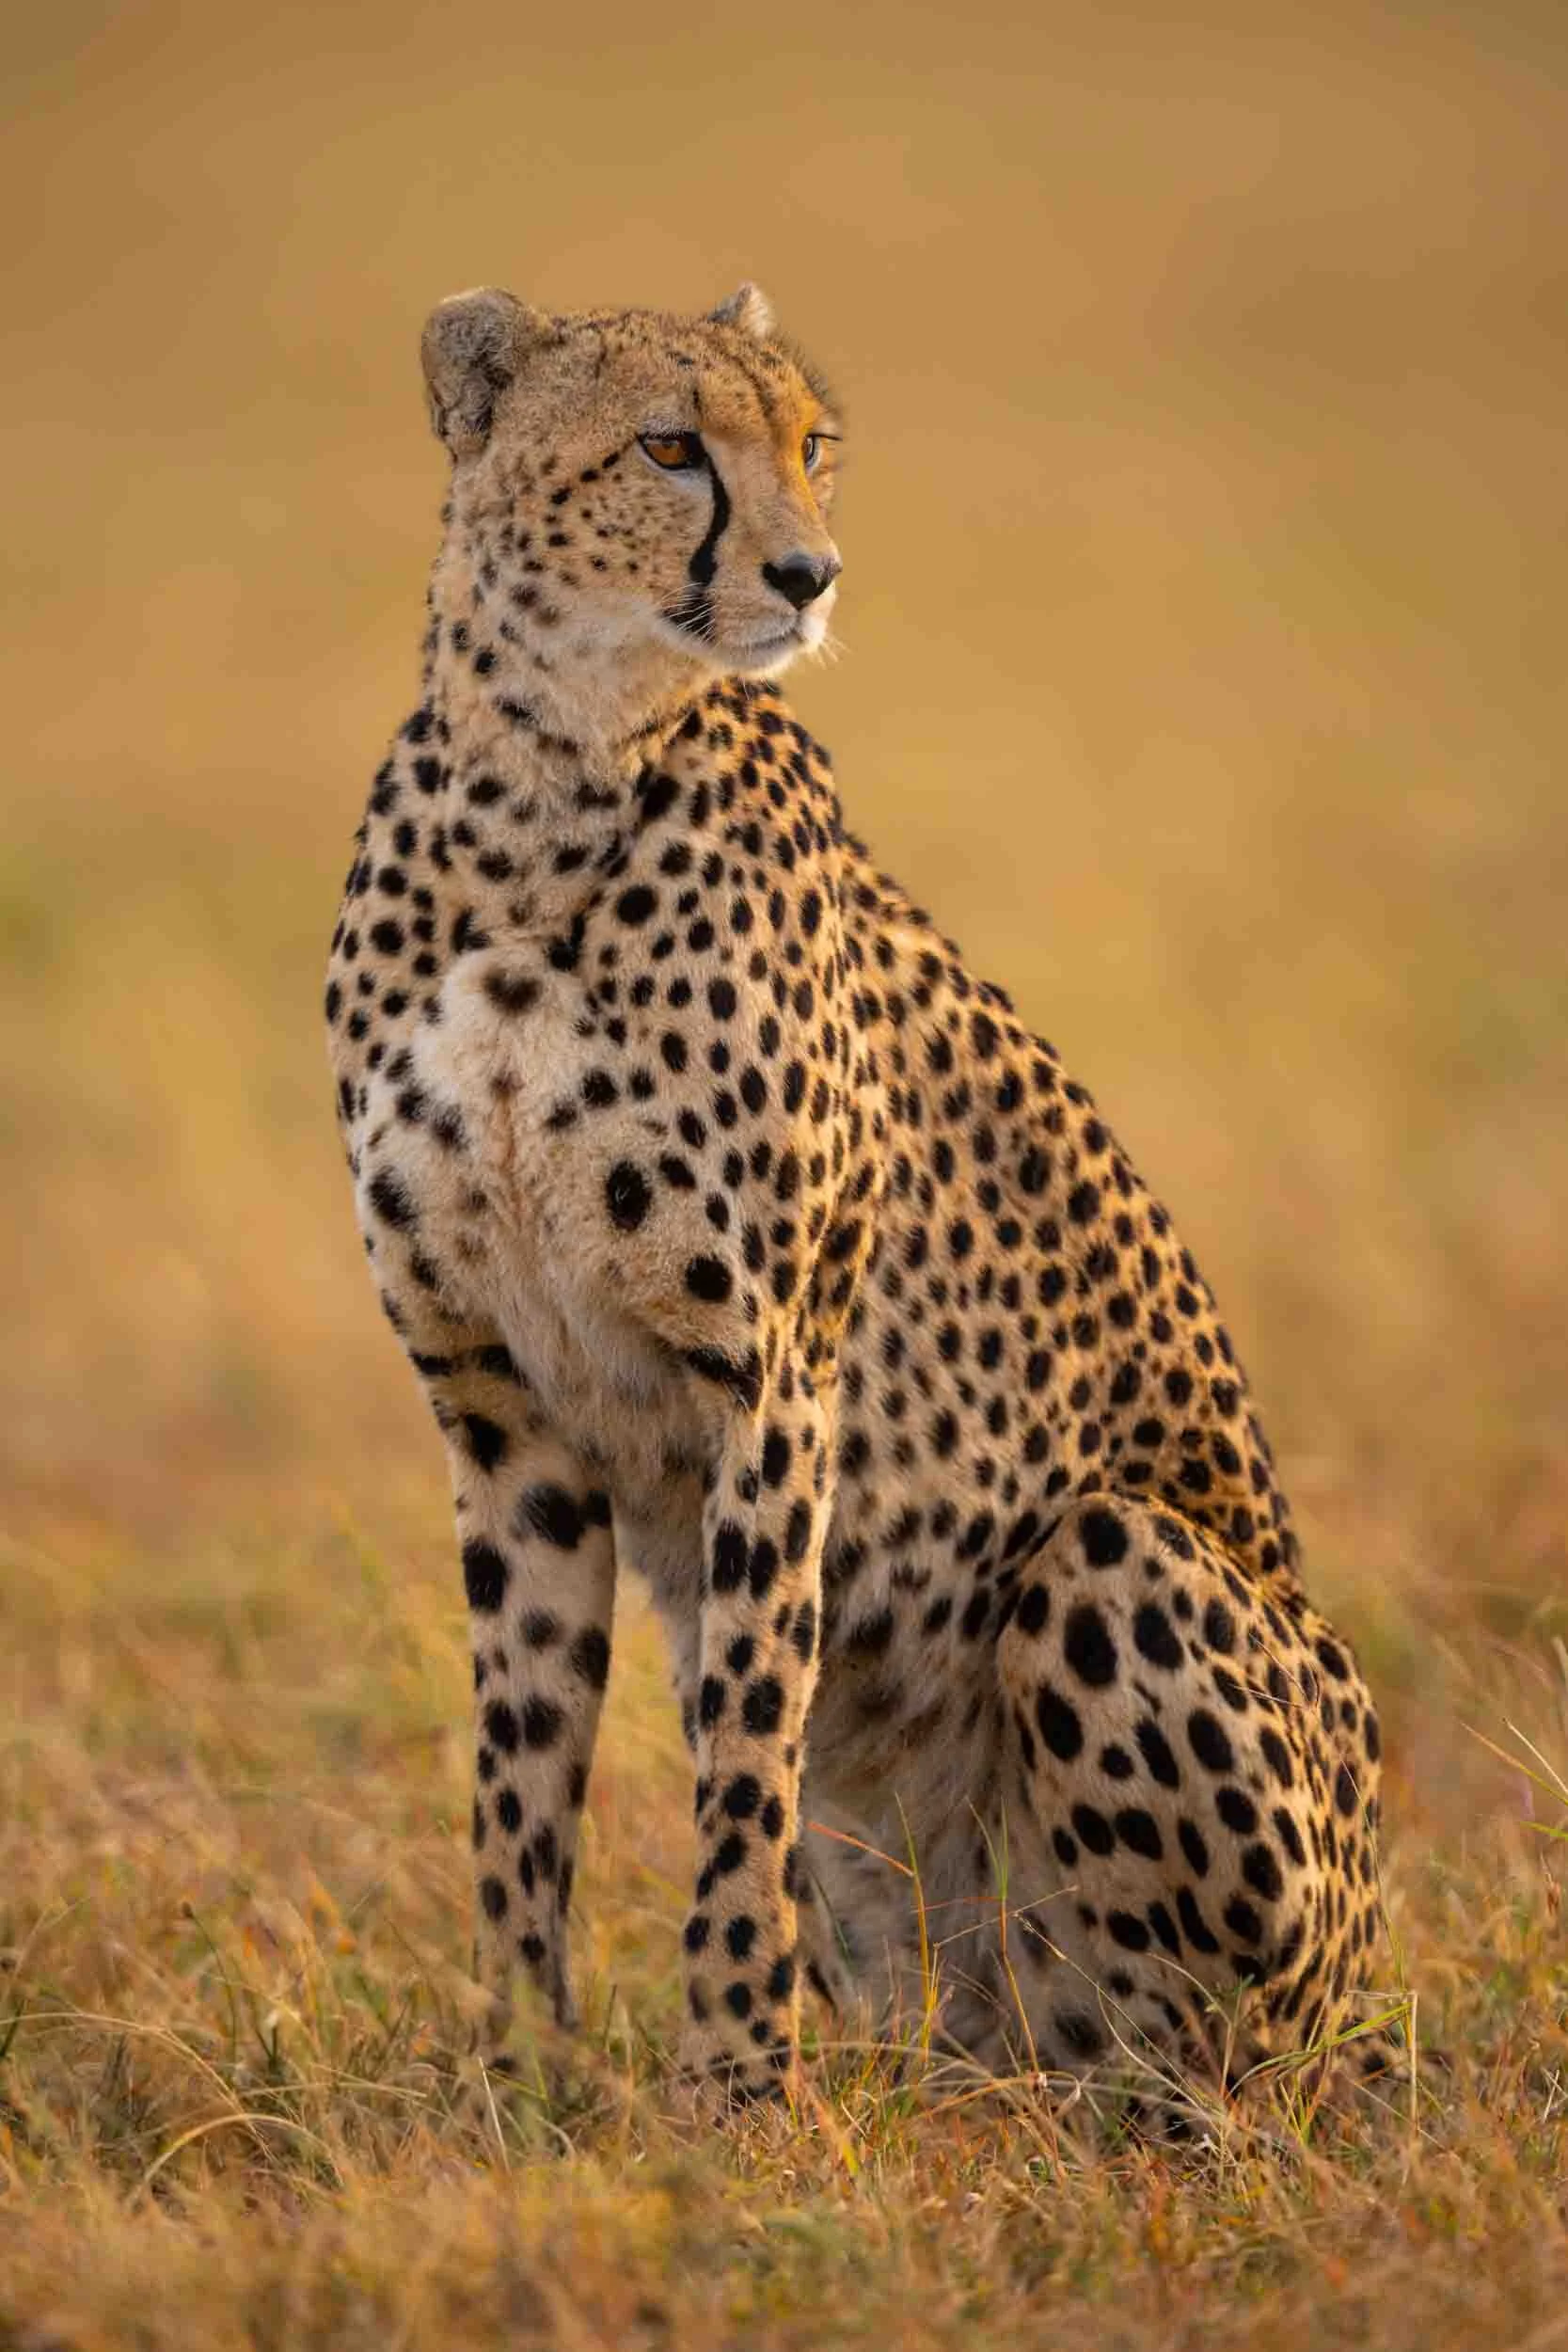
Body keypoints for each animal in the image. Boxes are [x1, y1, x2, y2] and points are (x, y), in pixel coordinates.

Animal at [324, 279, 1390, 2115]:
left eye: (810, 444)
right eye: (667, 447)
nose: (809, 573)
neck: (542, 792)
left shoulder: (771, 1378)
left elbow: (744, 1755)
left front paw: (736, 2086)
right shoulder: (501, 1414)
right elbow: (518, 1778)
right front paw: (512, 2077)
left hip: (1118, 1570)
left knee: (1196, 2066)